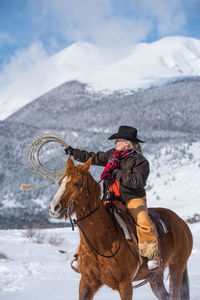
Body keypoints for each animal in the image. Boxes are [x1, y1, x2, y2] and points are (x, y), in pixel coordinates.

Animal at [49, 157, 193, 300]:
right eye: (60, 183)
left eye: (77, 183)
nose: (54, 207)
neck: (102, 241)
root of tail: (181, 223)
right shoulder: (86, 283)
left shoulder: (125, 285)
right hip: (155, 277)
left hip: (176, 268)